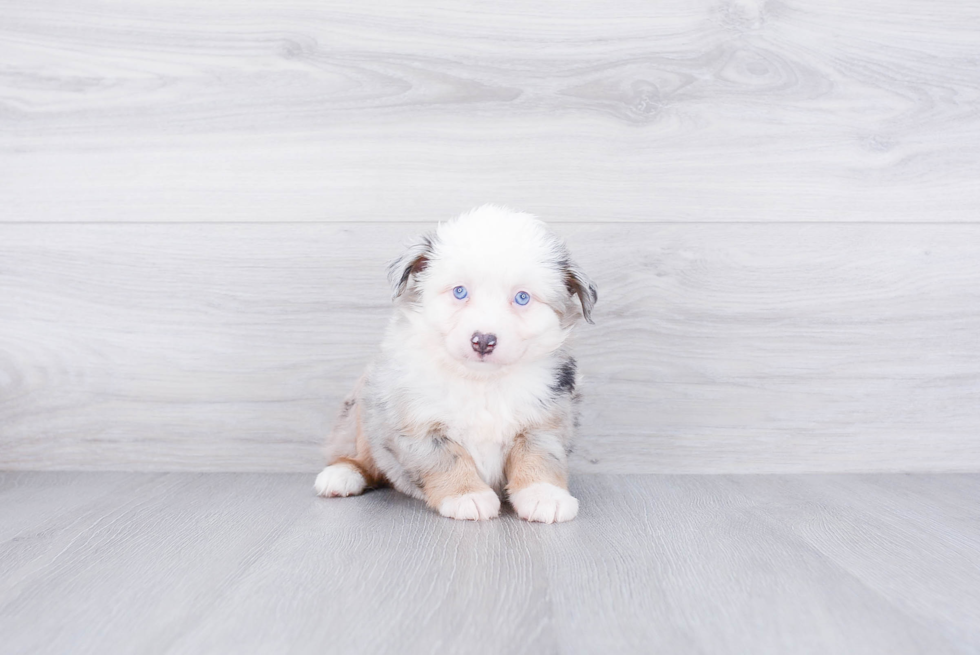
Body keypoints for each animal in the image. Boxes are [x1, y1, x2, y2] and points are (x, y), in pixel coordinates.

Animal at [314, 205, 596, 524]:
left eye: (522, 297)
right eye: (459, 292)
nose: (483, 340)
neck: (481, 381)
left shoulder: (546, 419)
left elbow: (541, 457)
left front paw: (545, 495)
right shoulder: (416, 423)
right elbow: (447, 459)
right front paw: (467, 496)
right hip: (361, 411)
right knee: (354, 452)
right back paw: (341, 474)